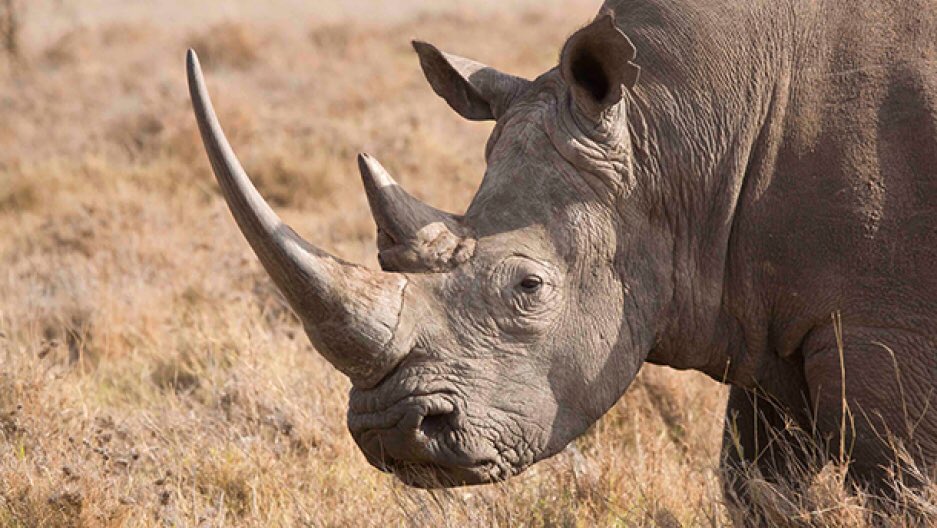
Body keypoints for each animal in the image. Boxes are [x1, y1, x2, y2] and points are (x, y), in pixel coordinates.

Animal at [186, 0, 937, 498]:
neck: (676, 136)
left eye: (529, 288)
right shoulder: (759, 314)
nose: (389, 429)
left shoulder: (885, 327)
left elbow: (898, 482)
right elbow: (757, 488)